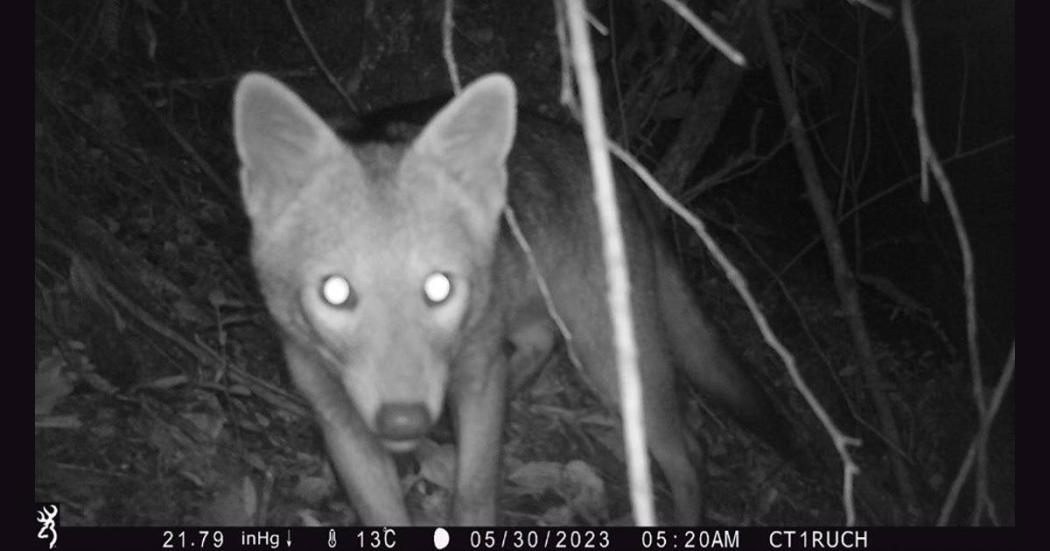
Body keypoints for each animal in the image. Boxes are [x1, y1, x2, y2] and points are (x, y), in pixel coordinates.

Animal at [232, 70, 789, 522]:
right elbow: (384, 513)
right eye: (335, 291)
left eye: (439, 287)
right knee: (538, 344)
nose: (405, 418)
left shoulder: (476, 373)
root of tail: (624, 176)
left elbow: (474, 496)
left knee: (689, 453)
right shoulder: (339, 420)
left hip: (609, 358)